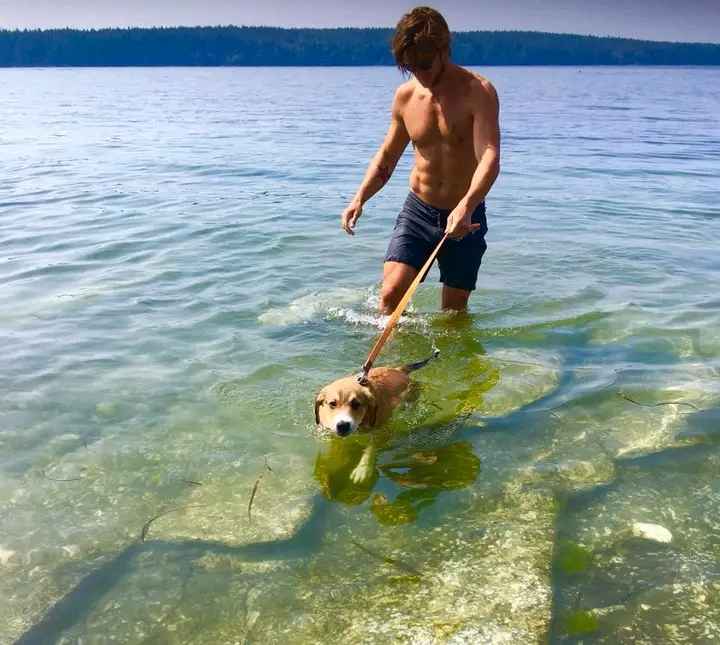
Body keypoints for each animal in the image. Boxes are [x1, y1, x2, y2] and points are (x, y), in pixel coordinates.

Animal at [312, 350, 436, 480]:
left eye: (356, 404)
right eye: (332, 404)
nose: (343, 425)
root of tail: (399, 370)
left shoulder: (381, 433)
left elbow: (371, 448)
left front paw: (363, 468)